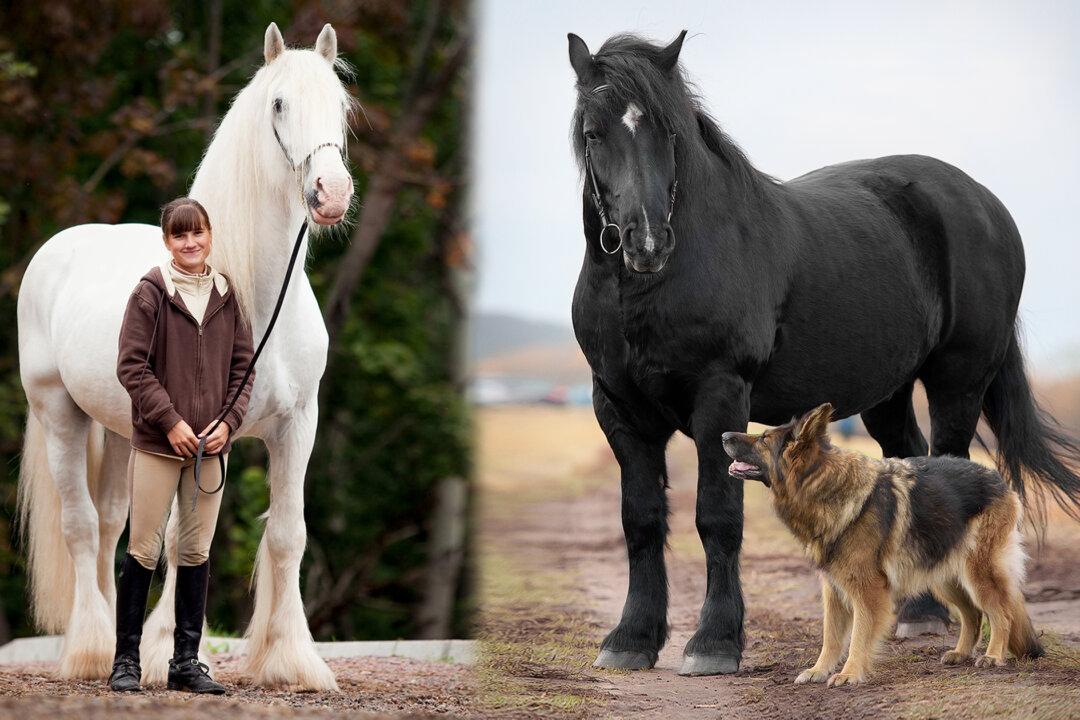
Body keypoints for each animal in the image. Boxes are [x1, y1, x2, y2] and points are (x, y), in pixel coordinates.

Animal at [17, 23, 355, 690]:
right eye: (279, 104)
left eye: (340, 106)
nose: (330, 194)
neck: (253, 296)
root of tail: (56, 251)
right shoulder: (192, 434)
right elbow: (178, 540)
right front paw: (161, 652)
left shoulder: (297, 426)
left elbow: (287, 534)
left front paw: (291, 660)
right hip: (59, 414)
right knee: (80, 524)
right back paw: (91, 649)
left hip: (122, 434)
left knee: (110, 525)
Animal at [567, 31, 1080, 676]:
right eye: (594, 132)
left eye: (669, 133)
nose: (647, 243)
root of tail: (987, 206)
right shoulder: (618, 408)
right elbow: (640, 522)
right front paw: (631, 640)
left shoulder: (720, 398)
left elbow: (717, 517)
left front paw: (713, 643)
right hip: (888, 390)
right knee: (908, 456)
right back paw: (918, 614)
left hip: (957, 381)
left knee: (945, 460)